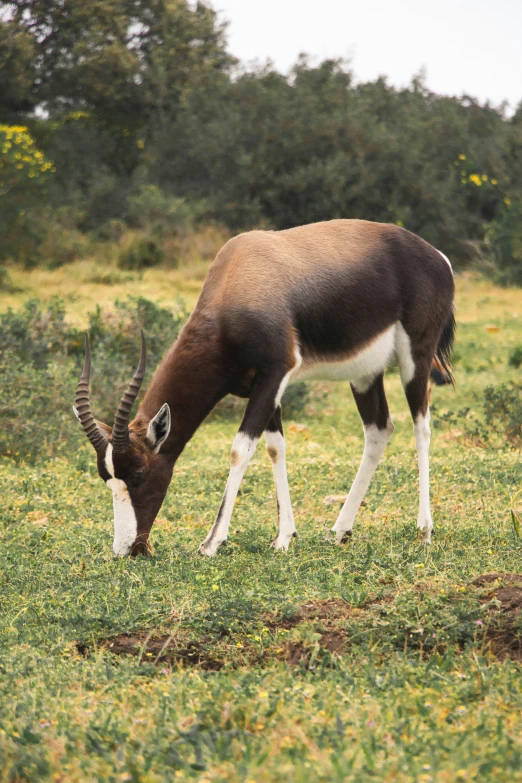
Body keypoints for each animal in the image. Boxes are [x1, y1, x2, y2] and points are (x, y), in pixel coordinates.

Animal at [72, 220, 450, 556]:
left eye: (138, 472)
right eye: (106, 477)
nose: (127, 549)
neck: (237, 277)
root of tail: (438, 257)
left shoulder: (274, 375)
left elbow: (240, 449)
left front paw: (212, 542)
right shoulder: (265, 387)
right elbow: (274, 447)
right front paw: (284, 538)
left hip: (415, 359)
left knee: (422, 427)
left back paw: (424, 531)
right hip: (364, 373)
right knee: (379, 429)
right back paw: (339, 531)